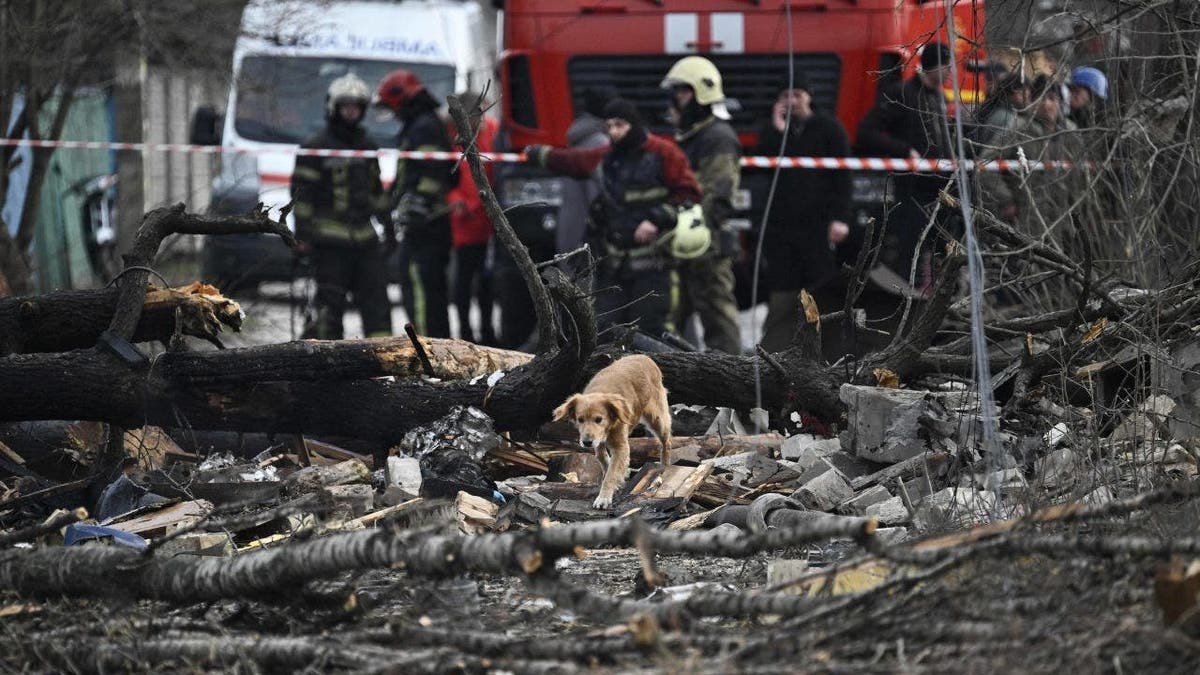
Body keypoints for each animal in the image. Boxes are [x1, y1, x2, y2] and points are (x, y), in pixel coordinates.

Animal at [554, 355, 676, 506]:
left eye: (599, 419)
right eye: (580, 419)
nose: (587, 442)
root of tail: (645, 357)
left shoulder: (620, 447)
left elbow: (611, 474)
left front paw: (604, 497)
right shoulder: (599, 442)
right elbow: (602, 458)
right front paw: (617, 479)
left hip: (657, 419)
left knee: (667, 442)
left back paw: (664, 466)